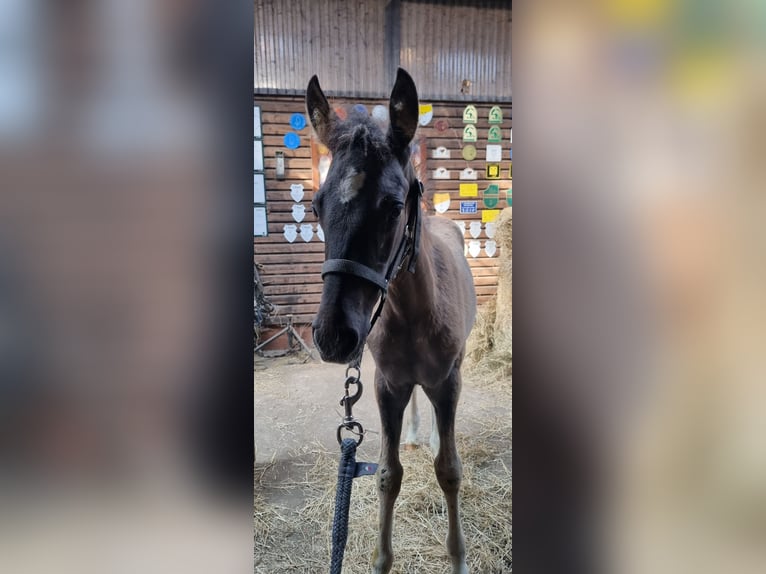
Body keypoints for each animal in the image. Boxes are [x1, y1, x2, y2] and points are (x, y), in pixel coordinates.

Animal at [308, 70, 476, 572]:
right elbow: (387, 474)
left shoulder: (448, 380)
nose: (332, 336)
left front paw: (459, 558)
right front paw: (381, 560)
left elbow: (450, 472)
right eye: (317, 205)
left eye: (394, 205)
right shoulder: (386, 384)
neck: (413, 313)